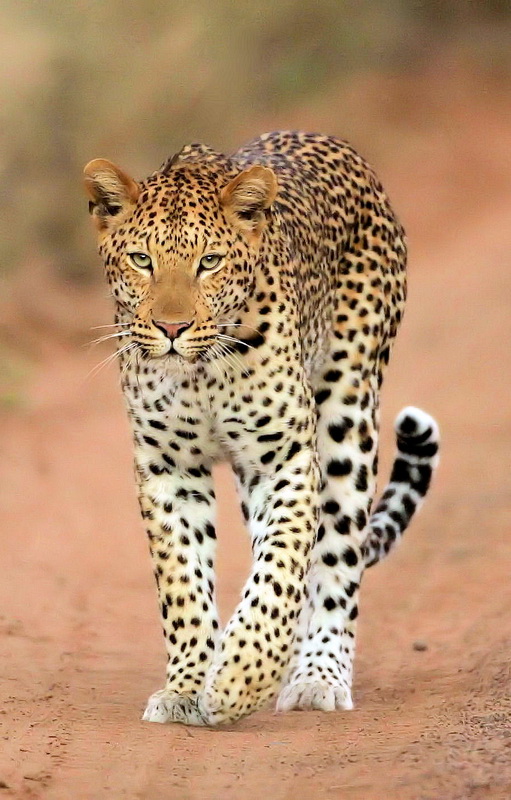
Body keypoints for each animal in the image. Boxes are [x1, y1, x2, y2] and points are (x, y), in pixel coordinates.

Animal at [83, 131, 439, 726]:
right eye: (141, 260)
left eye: (209, 262)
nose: (172, 328)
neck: (200, 372)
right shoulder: (168, 469)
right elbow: (183, 582)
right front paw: (187, 686)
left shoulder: (285, 459)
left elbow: (281, 570)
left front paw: (236, 680)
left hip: (348, 413)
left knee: (335, 558)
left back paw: (317, 674)